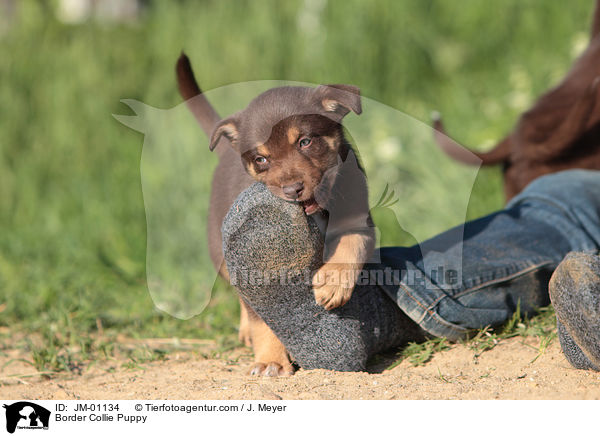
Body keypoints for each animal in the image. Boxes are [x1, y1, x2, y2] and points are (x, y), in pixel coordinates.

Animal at [176, 53, 376, 374]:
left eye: (305, 142)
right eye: (261, 159)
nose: (293, 189)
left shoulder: (359, 221)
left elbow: (351, 245)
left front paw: (332, 284)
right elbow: (263, 319)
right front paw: (271, 359)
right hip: (219, 251)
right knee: (242, 299)